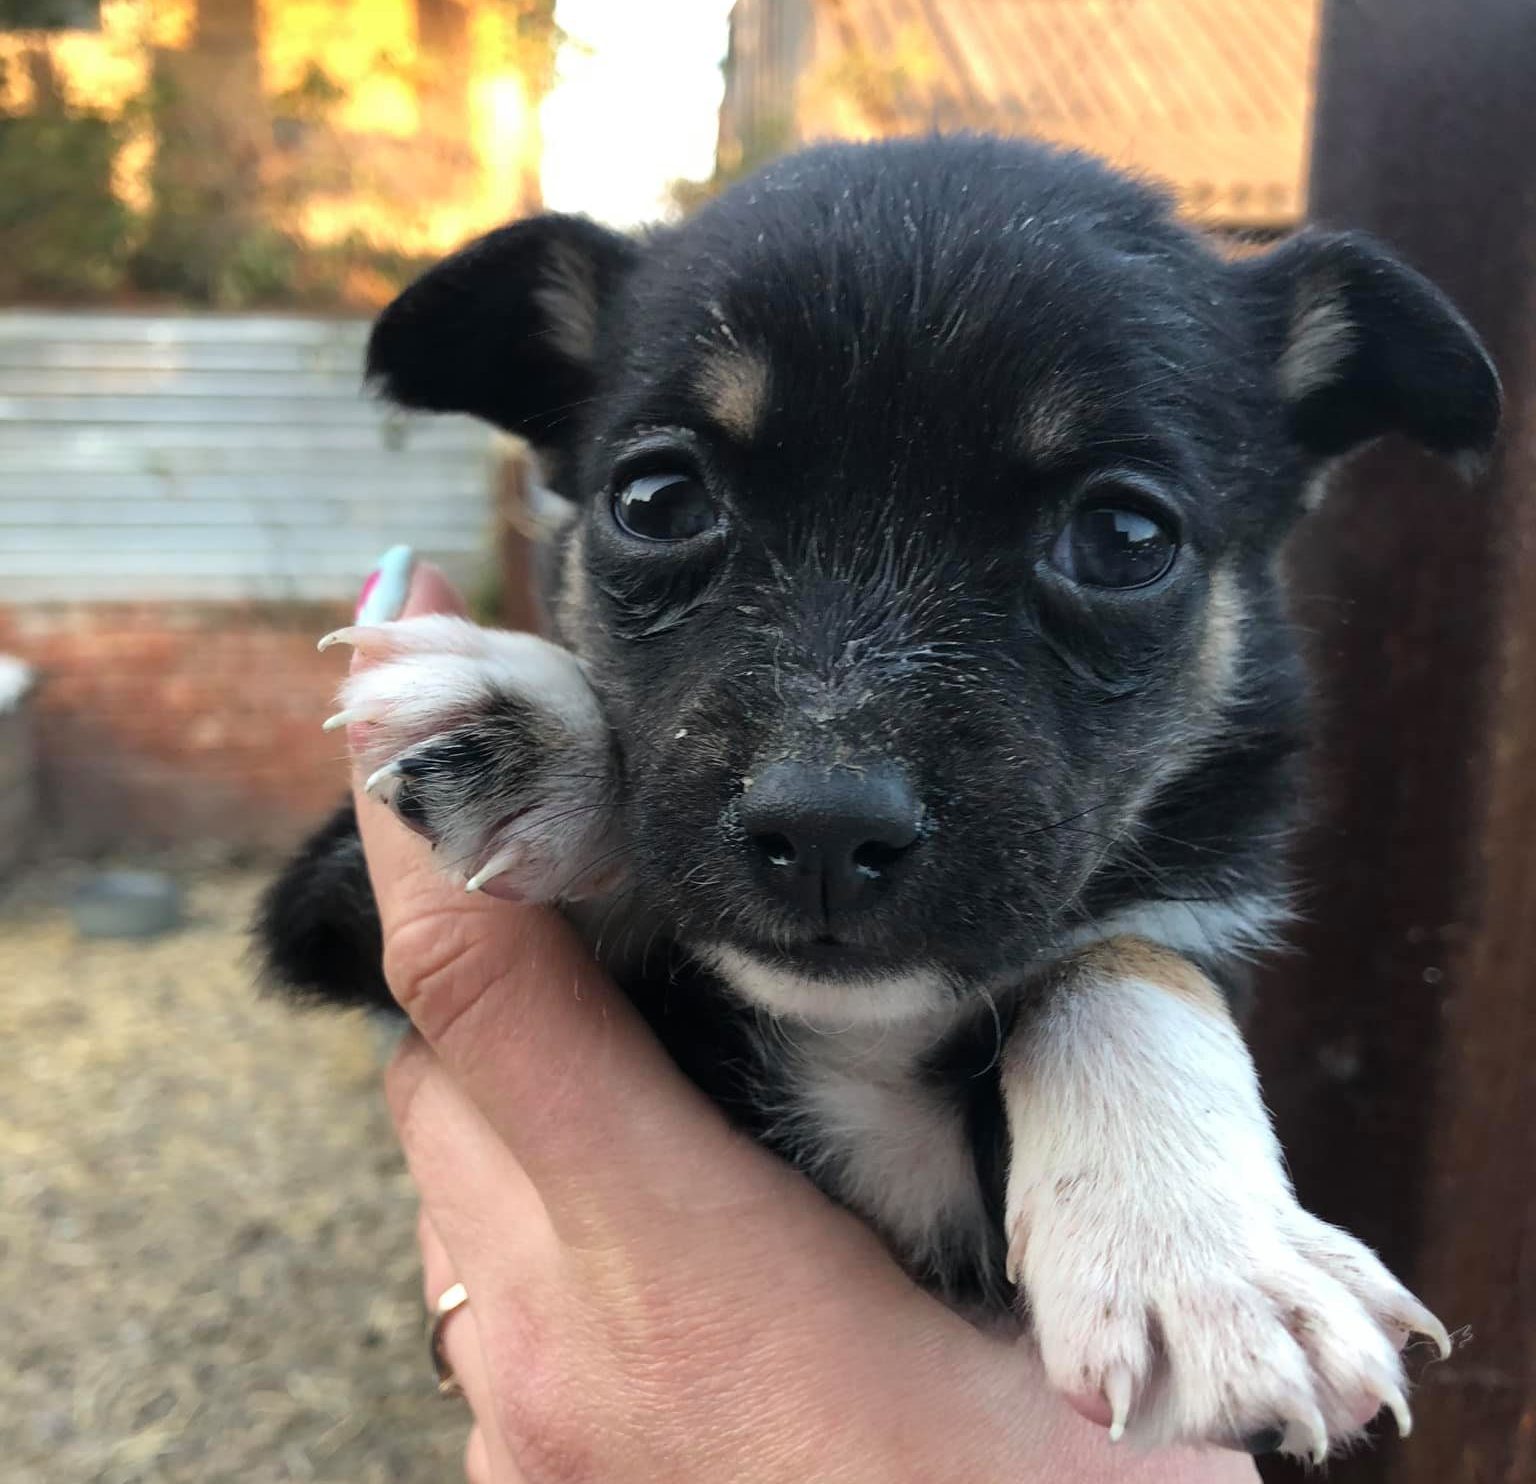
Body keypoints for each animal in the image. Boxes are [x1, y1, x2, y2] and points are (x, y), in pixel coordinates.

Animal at [261, 136, 1499, 1462]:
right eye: (656, 500)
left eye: (1125, 535)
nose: (822, 830)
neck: (864, 1031)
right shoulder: (335, 897)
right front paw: (536, 723)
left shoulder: (1183, 924)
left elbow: (1119, 964)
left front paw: (1211, 1263)